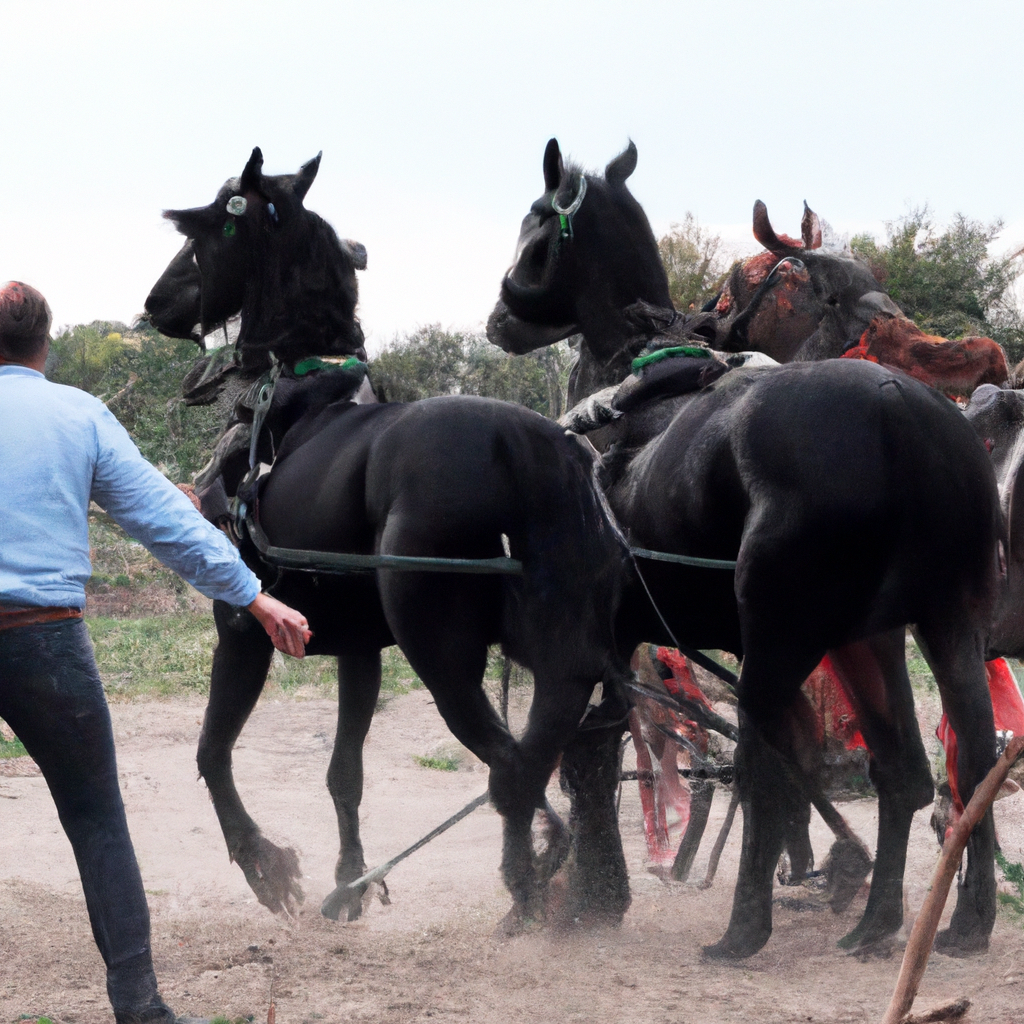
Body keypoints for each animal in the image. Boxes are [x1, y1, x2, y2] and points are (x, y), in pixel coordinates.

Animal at [146, 149, 630, 929]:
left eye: (212, 226)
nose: (156, 301)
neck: (294, 402)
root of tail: (518, 444)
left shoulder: (241, 627)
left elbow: (212, 752)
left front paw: (264, 865)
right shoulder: (360, 649)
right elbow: (345, 772)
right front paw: (350, 879)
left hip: (441, 651)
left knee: (510, 766)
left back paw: (527, 884)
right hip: (555, 653)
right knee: (537, 754)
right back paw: (555, 871)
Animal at [487, 138, 999, 958]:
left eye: (534, 231)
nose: (498, 319)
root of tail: (902, 420)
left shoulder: (601, 636)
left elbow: (584, 753)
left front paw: (574, 893)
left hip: (780, 636)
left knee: (768, 766)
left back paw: (745, 927)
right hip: (924, 628)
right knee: (946, 766)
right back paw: (919, 919)